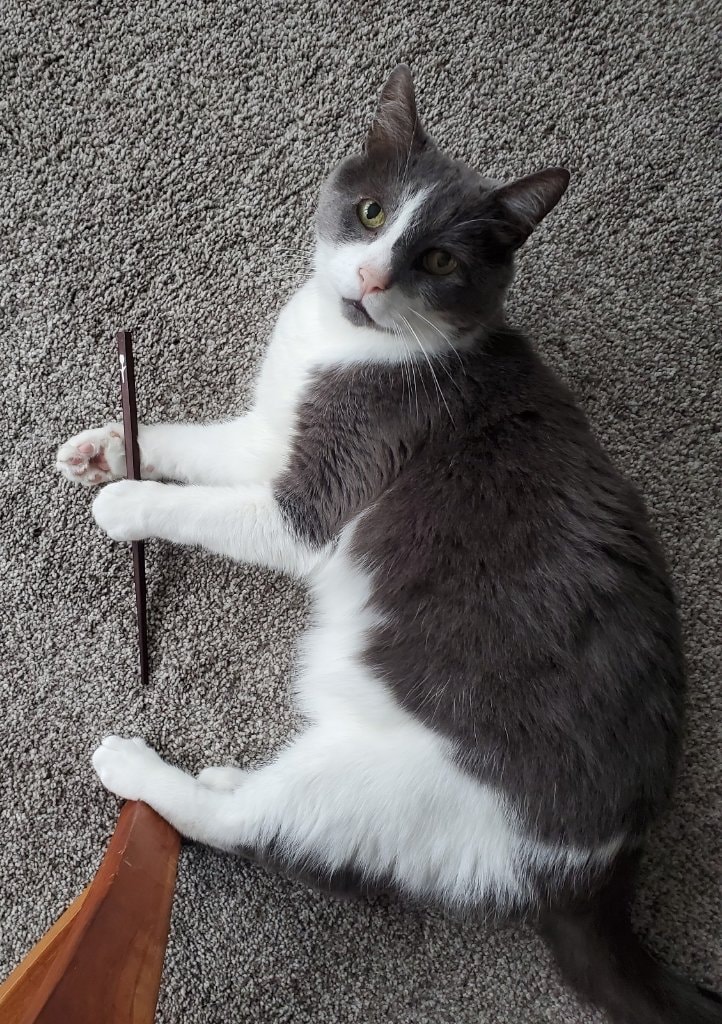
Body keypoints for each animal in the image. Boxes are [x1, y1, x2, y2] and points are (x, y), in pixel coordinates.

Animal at [56, 66, 721, 1024]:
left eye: (438, 261)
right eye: (372, 214)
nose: (371, 274)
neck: (343, 344)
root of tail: (608, 871)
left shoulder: (322, 490)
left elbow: (213, 508)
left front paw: (124, 500)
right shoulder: (270, 436)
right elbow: (194, 443)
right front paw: (105, 447)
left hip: (403, 789)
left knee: (259, 828)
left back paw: (141, 769)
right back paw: (219, 775)